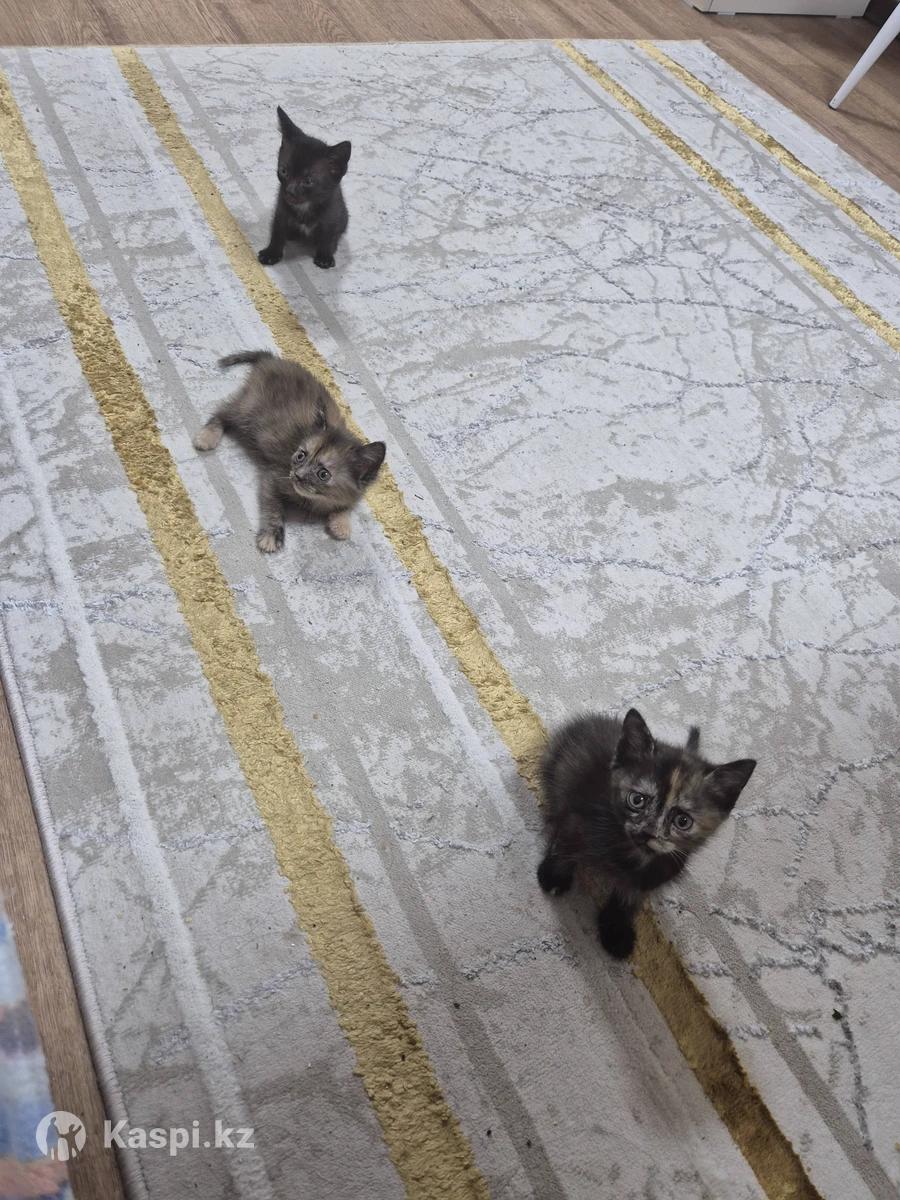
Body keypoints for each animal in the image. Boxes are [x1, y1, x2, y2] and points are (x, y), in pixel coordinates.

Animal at [193, 351, 385, 552]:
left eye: (323, 474)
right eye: (300, 456)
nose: (298, 476)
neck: (315, 499)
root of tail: (272, 359)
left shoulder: (357, 490)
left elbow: (347, 503)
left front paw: (341, 524)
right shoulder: (274, 475)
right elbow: (273, 506)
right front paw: (271, 535)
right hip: (249, 409)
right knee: (222, 411)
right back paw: (206, 437)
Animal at [257, 107, 350, 270]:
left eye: (308, 181)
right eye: (284, 171)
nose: (289, 190)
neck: (305, 206)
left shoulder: (332, 215)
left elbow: (328, 236)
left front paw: (325, 256)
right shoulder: (280, 210)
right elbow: (277, 231)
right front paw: (271, 253)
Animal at [537, 708, 755, 959]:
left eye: (683, 821)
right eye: (637, 800)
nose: (649, 832)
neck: (631, 855)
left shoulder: (655, 875)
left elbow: (629, 897)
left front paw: (616, 930)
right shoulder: (576, 814)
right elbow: (566, 843)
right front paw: (555, 874)